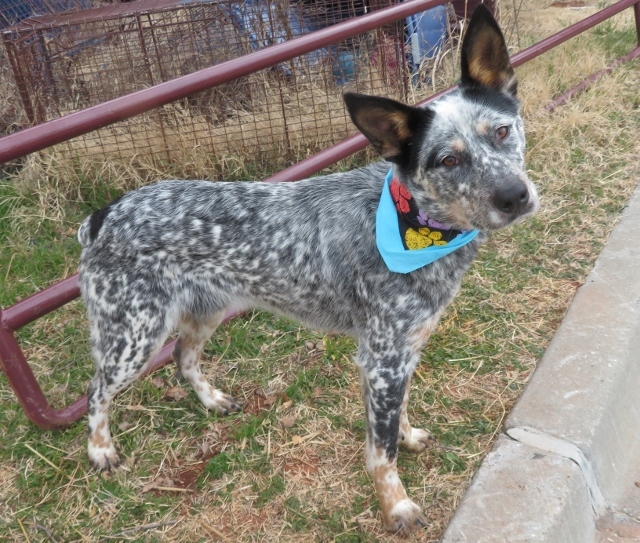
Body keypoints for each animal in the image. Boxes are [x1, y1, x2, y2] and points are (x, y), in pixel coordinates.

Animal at [77, 5, 536, 536]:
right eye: (448, 159)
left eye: (501, 131)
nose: (515, 196)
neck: (415, 222)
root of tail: (104, 214)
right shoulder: (381, 359)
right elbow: (381, 451)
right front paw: (396, 506)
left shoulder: (399, 354)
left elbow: (396, 417)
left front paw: (408, 438)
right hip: (133, 336)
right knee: (97, 391)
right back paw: (100, 449)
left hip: (204, 311)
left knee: (183, 359)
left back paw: (212, 401)